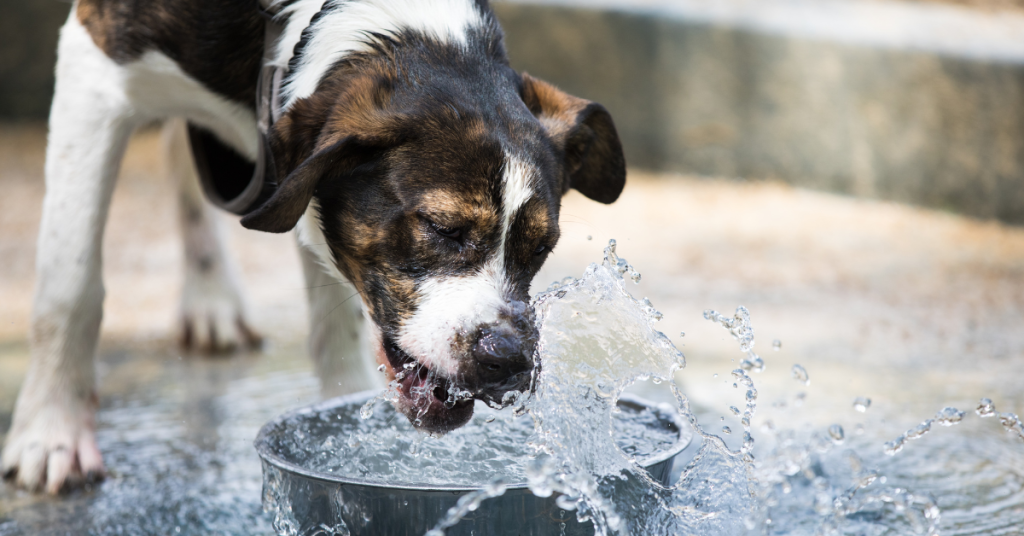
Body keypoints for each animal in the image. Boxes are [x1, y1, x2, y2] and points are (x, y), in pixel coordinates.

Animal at [2, 0, 622, 496]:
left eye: (541, 248)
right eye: (442, 228)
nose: (509, 360)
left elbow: (335, 321)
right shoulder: (94, 64)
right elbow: (70, 287)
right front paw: (51, 433)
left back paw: (211, 296)